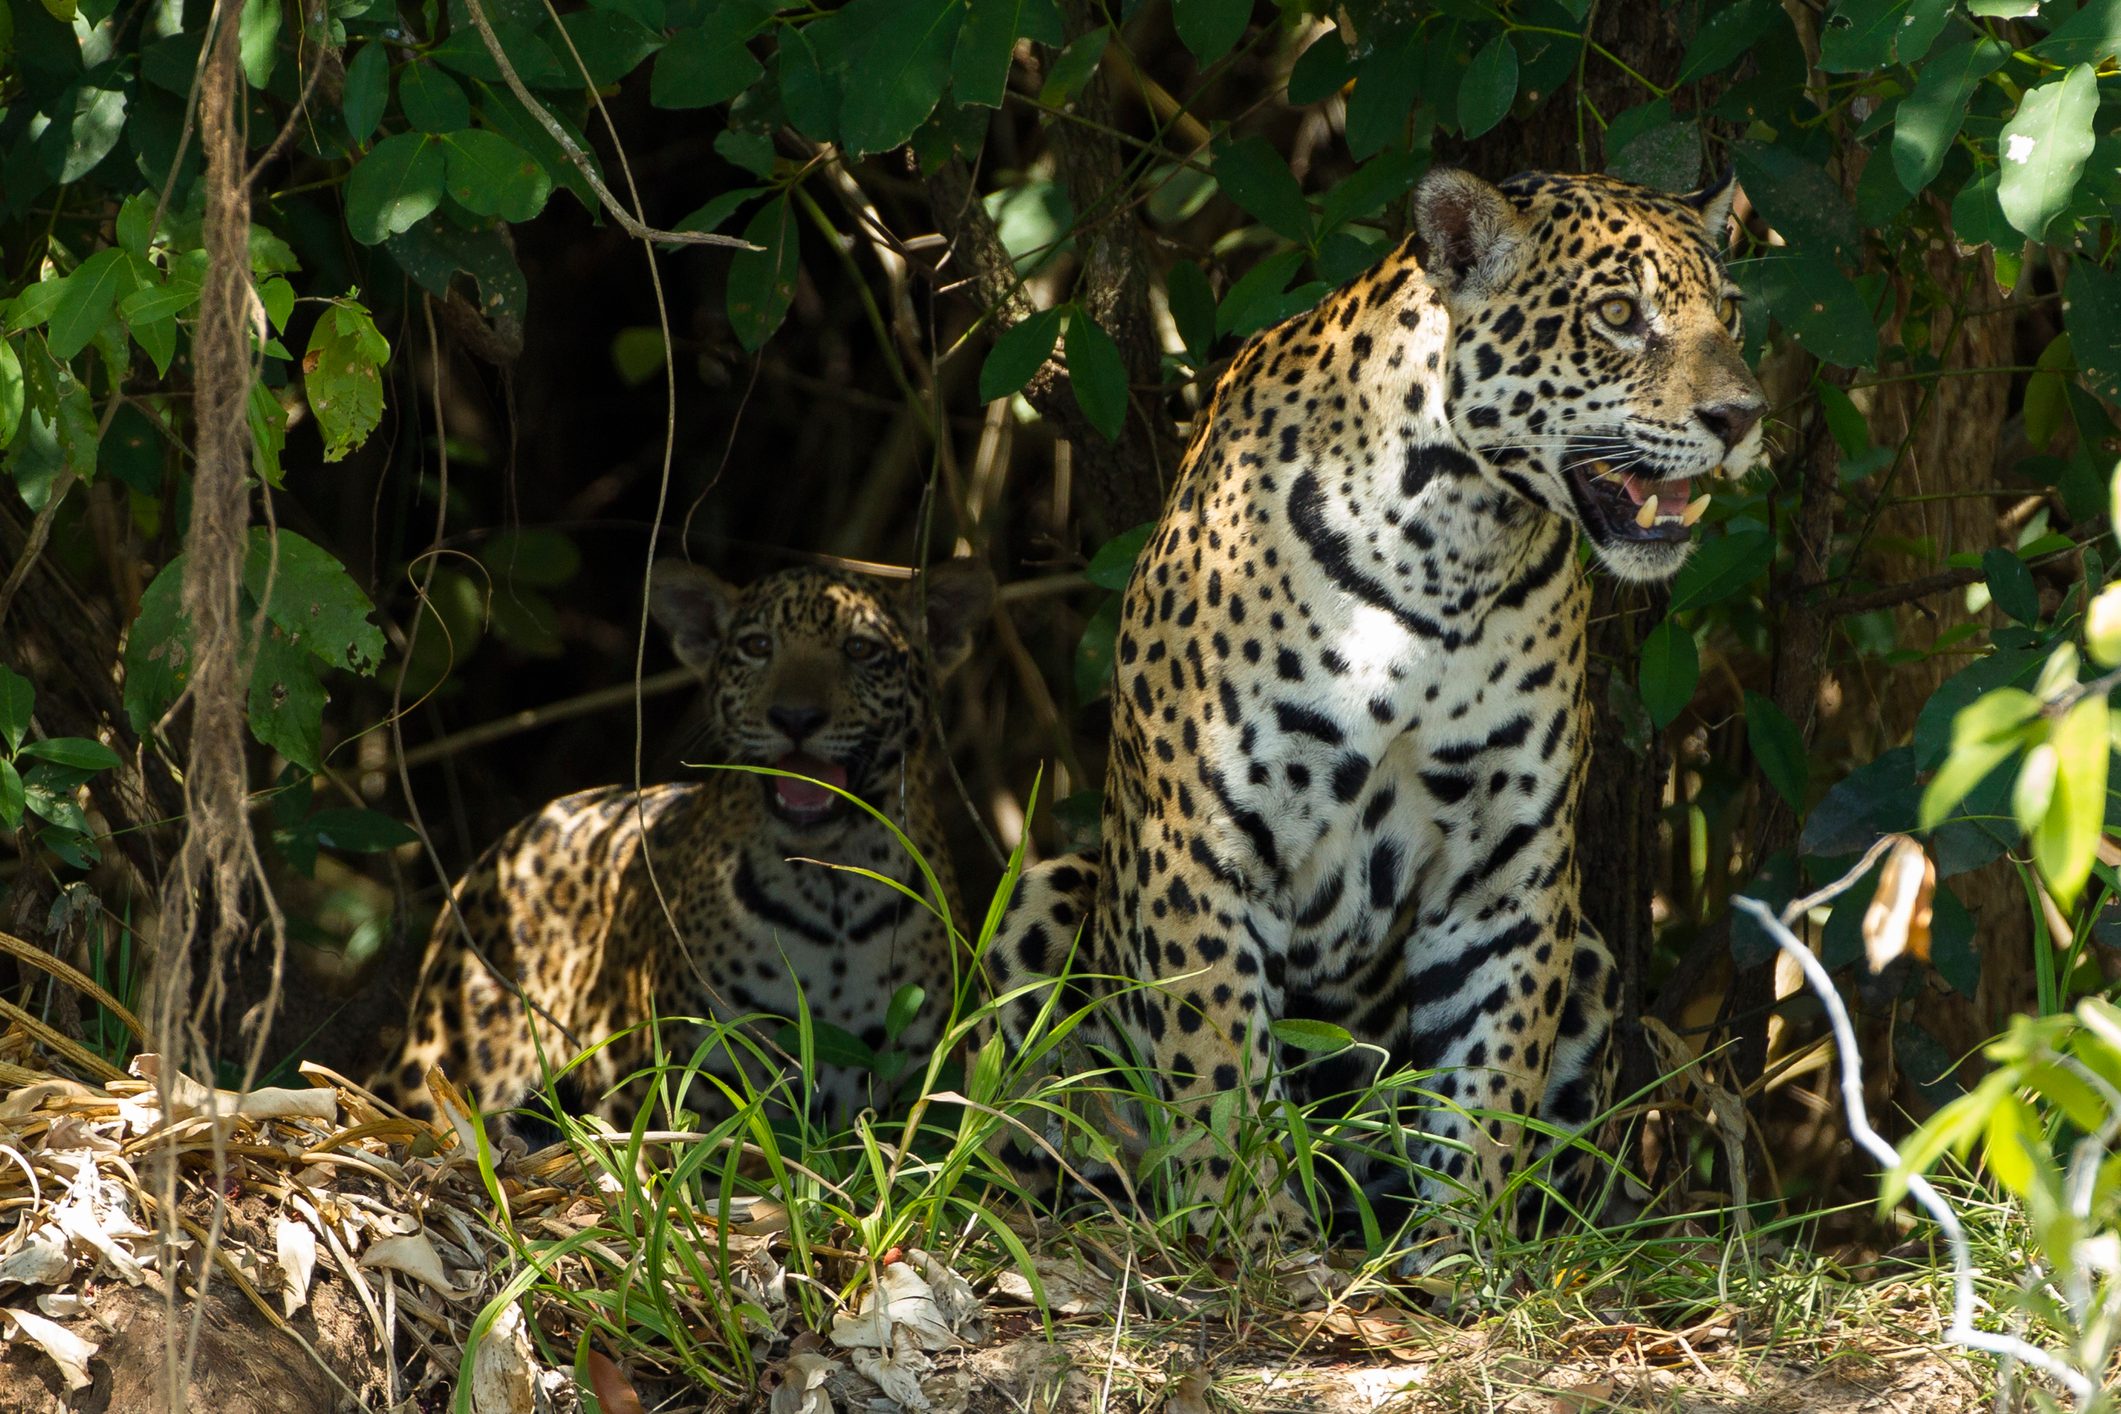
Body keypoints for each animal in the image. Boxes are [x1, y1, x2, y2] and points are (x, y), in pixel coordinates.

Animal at [380, 556, 994, 1131]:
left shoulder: (912, 1083)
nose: (794, 717)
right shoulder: (691, 1086)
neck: (831, 884)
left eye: (862, 649)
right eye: (757, 647)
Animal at [983, 167, 1765, 1263]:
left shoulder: (1505, 864)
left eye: (1729, 312)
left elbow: (1489, 1075)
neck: (1453, 547)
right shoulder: (1198, 839)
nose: (1742, 415)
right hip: (1052, 893)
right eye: (1619, 316)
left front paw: (1458, 1247)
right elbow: (1218, 1059)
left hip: (1595, 957)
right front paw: (1255, 1235)